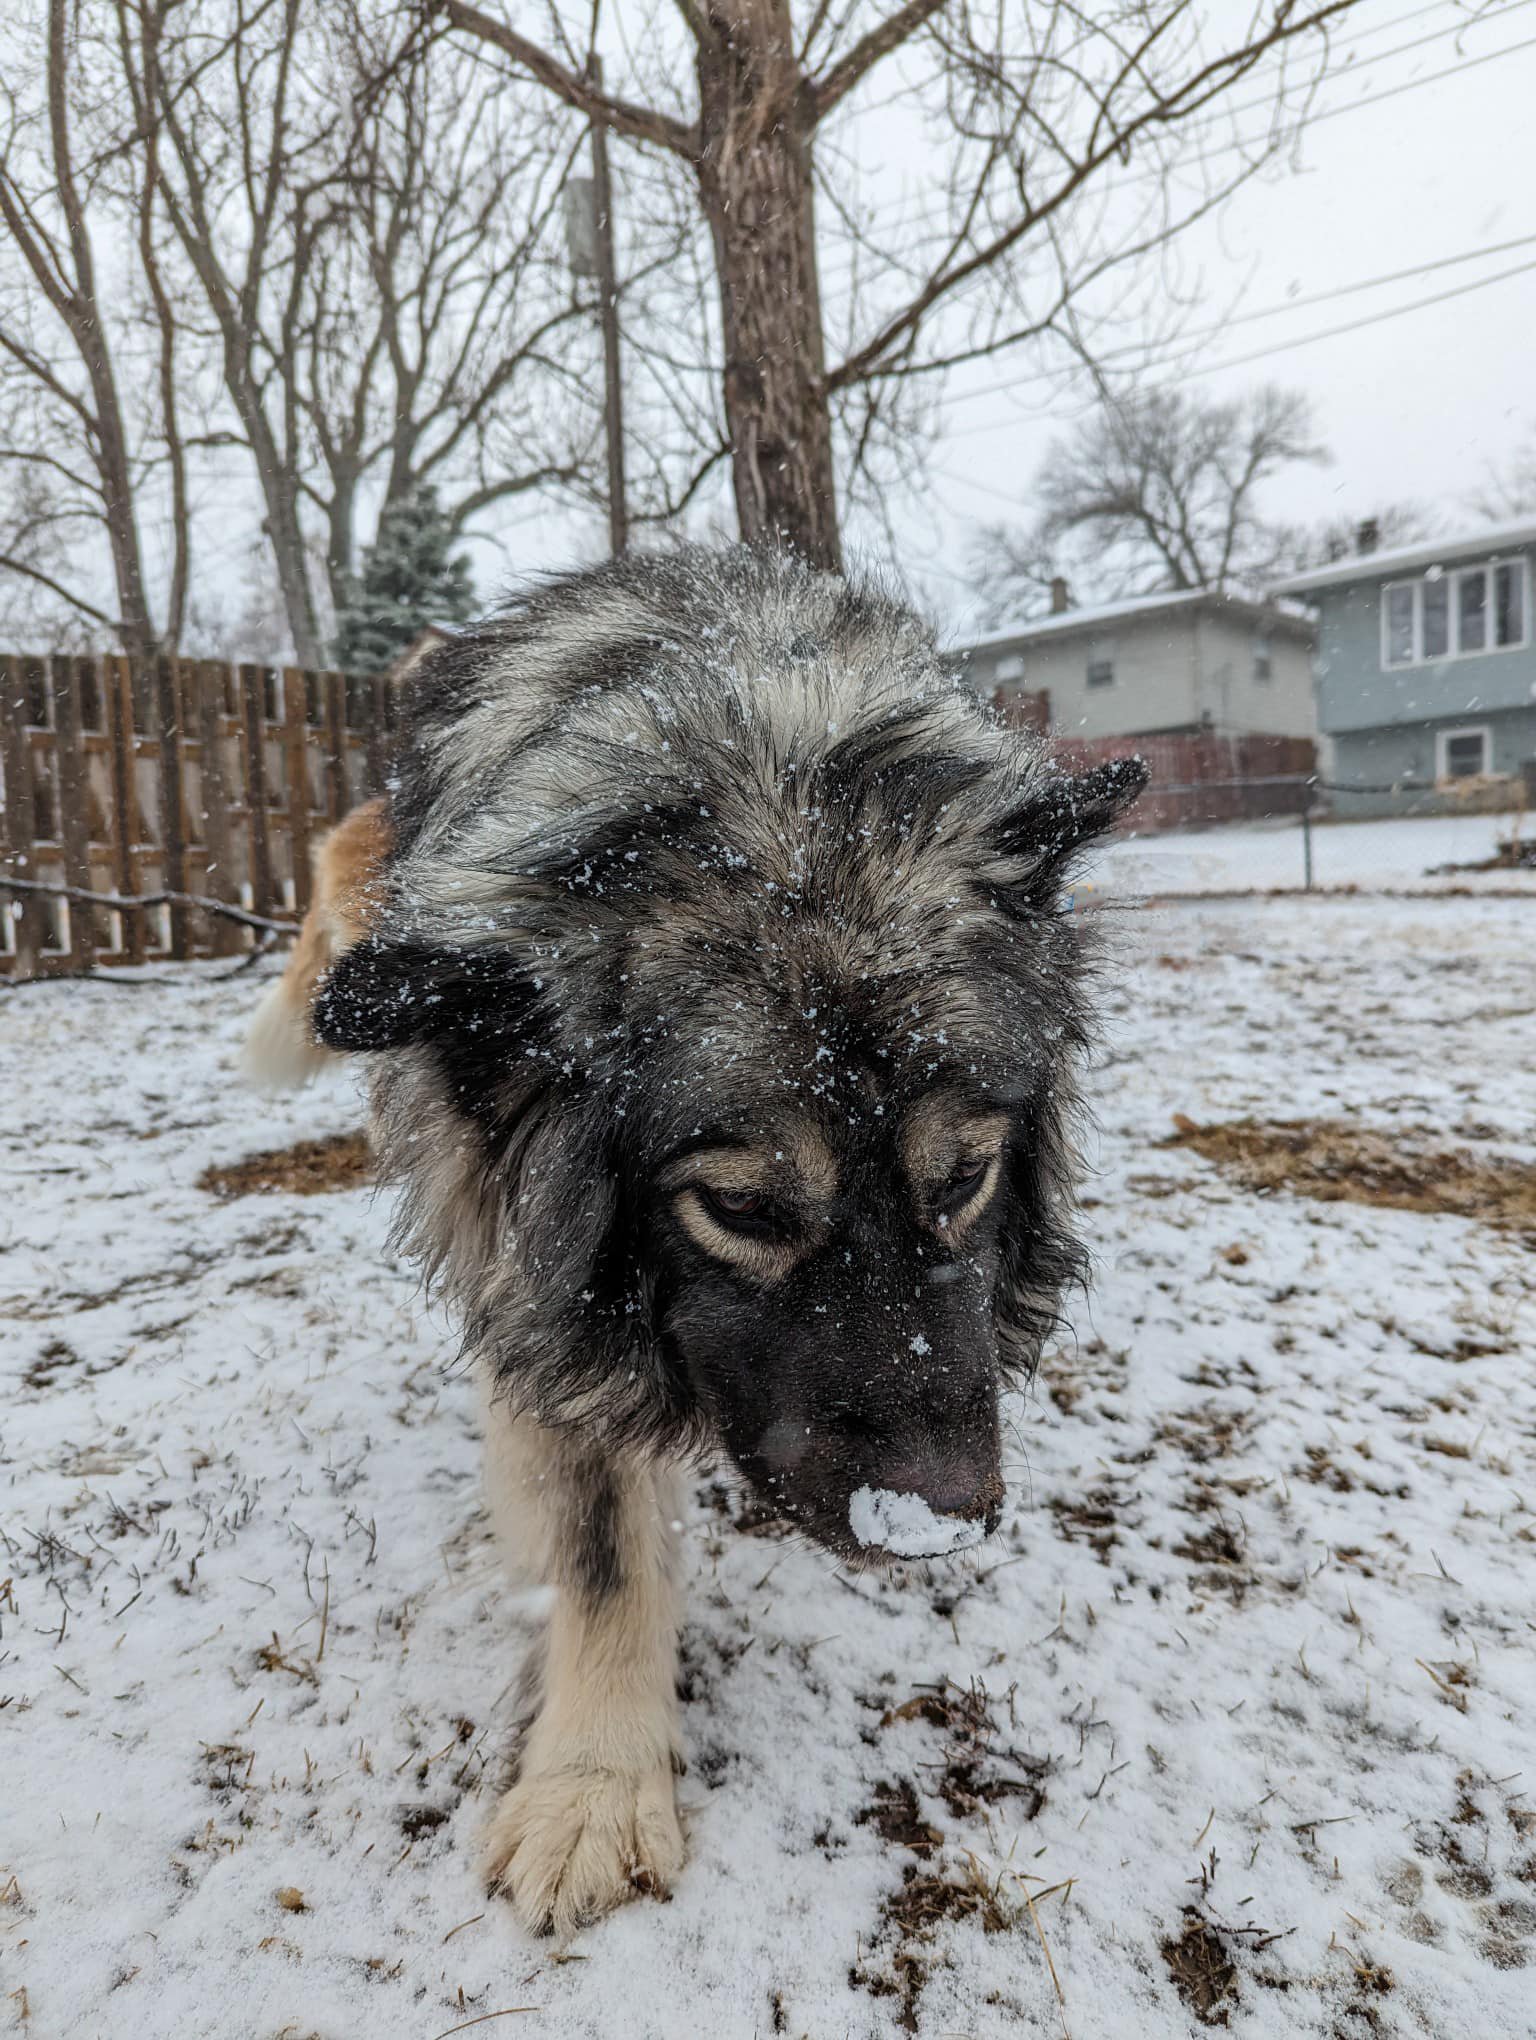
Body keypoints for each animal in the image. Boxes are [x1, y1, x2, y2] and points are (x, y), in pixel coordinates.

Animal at [295, 542, 1142, 1925]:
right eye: (741, 1209)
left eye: (966, 1176)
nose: (940, 1525)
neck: (756, 763)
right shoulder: (538, 1300)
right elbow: (600, 1557)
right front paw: (593, 1786)